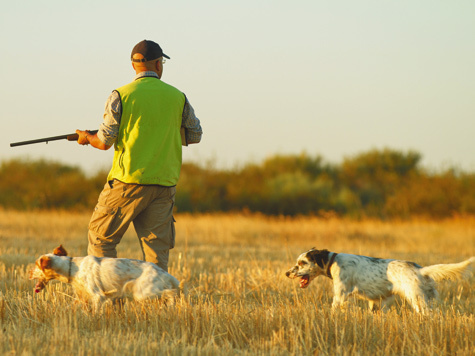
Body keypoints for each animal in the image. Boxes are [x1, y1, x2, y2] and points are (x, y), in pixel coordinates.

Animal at [28, 246, 183, 310]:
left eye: (36, 265)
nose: (28, 273)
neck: (73, 268)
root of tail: (163, 272)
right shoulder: (82, 297)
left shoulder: (98, 296)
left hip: (143, 292)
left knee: (172, 292)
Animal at [286, 249, 475, 312]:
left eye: (302, 263)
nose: (287, 273)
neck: (333, 261)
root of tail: (420, 269)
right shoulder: (377, 301)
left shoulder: (340, 295)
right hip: (428, 298)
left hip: (417, 299)